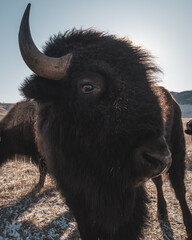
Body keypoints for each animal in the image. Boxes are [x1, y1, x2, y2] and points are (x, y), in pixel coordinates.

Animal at [17, 4, 191, 240]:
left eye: (145, 82)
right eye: (87, 86)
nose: (159, 157)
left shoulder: (127, 198)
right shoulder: (74, 194)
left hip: (177, 148)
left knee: (179, 187)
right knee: (159, 181)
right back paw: (162, 212)